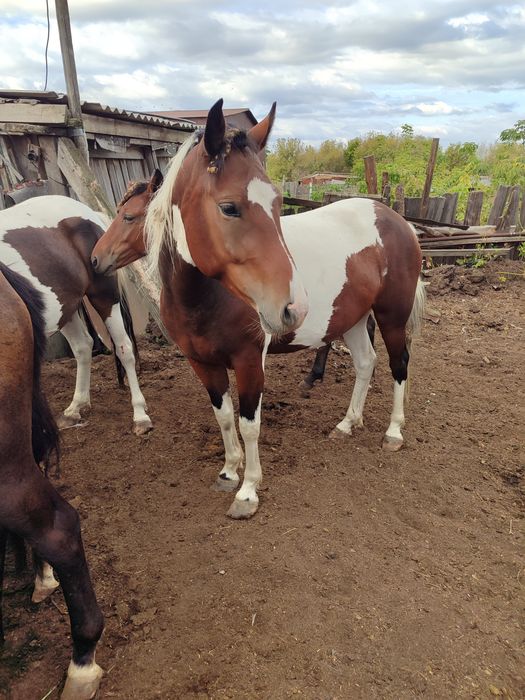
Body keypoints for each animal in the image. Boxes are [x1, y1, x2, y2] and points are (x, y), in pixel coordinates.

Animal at [0, 195, 152, 436]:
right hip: (66, 307)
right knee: (83, 346)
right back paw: (75, 408)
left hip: (104, 297)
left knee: (124, 349)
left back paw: (140, 415)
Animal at [92, 100, 424, 519]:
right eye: (229, 207)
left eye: (129, 217)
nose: (96, 259)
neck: (206, 297)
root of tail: (397, 221)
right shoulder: (203, 363)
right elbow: (223, 416)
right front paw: (228, 471)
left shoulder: (250, 361)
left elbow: (249, 423)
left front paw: (248, 491)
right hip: (352, 319)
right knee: (367, 363)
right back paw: (348, 423)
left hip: (391, 317)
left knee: (399, 364)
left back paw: (393, 432)